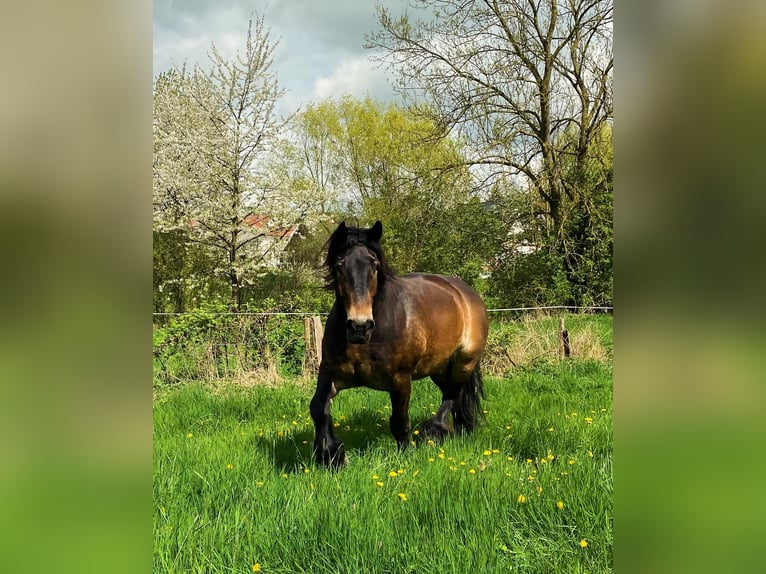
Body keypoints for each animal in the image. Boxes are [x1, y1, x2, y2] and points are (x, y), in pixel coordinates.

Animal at [308, 220, 488, 468]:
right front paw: (332, 455)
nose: (360, 326)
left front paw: (406, 456)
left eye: (374, 266)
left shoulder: (400, 380)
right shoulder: (330, 373)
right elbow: (318, 408)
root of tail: (465, 292)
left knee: (453, 395)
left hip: (464, 362)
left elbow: (399, 421)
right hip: (439, 367)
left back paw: (435, 431)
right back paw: (460, 432)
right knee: (454, 396)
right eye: (339, 266)